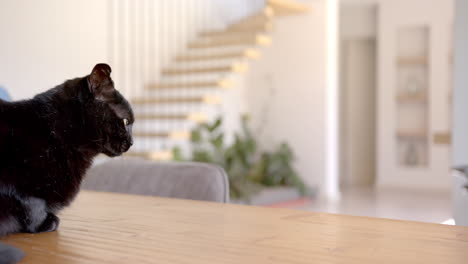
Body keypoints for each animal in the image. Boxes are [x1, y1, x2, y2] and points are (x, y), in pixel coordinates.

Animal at [0, 63, 133, 262]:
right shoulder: (19, 183)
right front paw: (43, 224)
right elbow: (32, 205)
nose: (132, 143)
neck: (50, 130)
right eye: (125, 121)